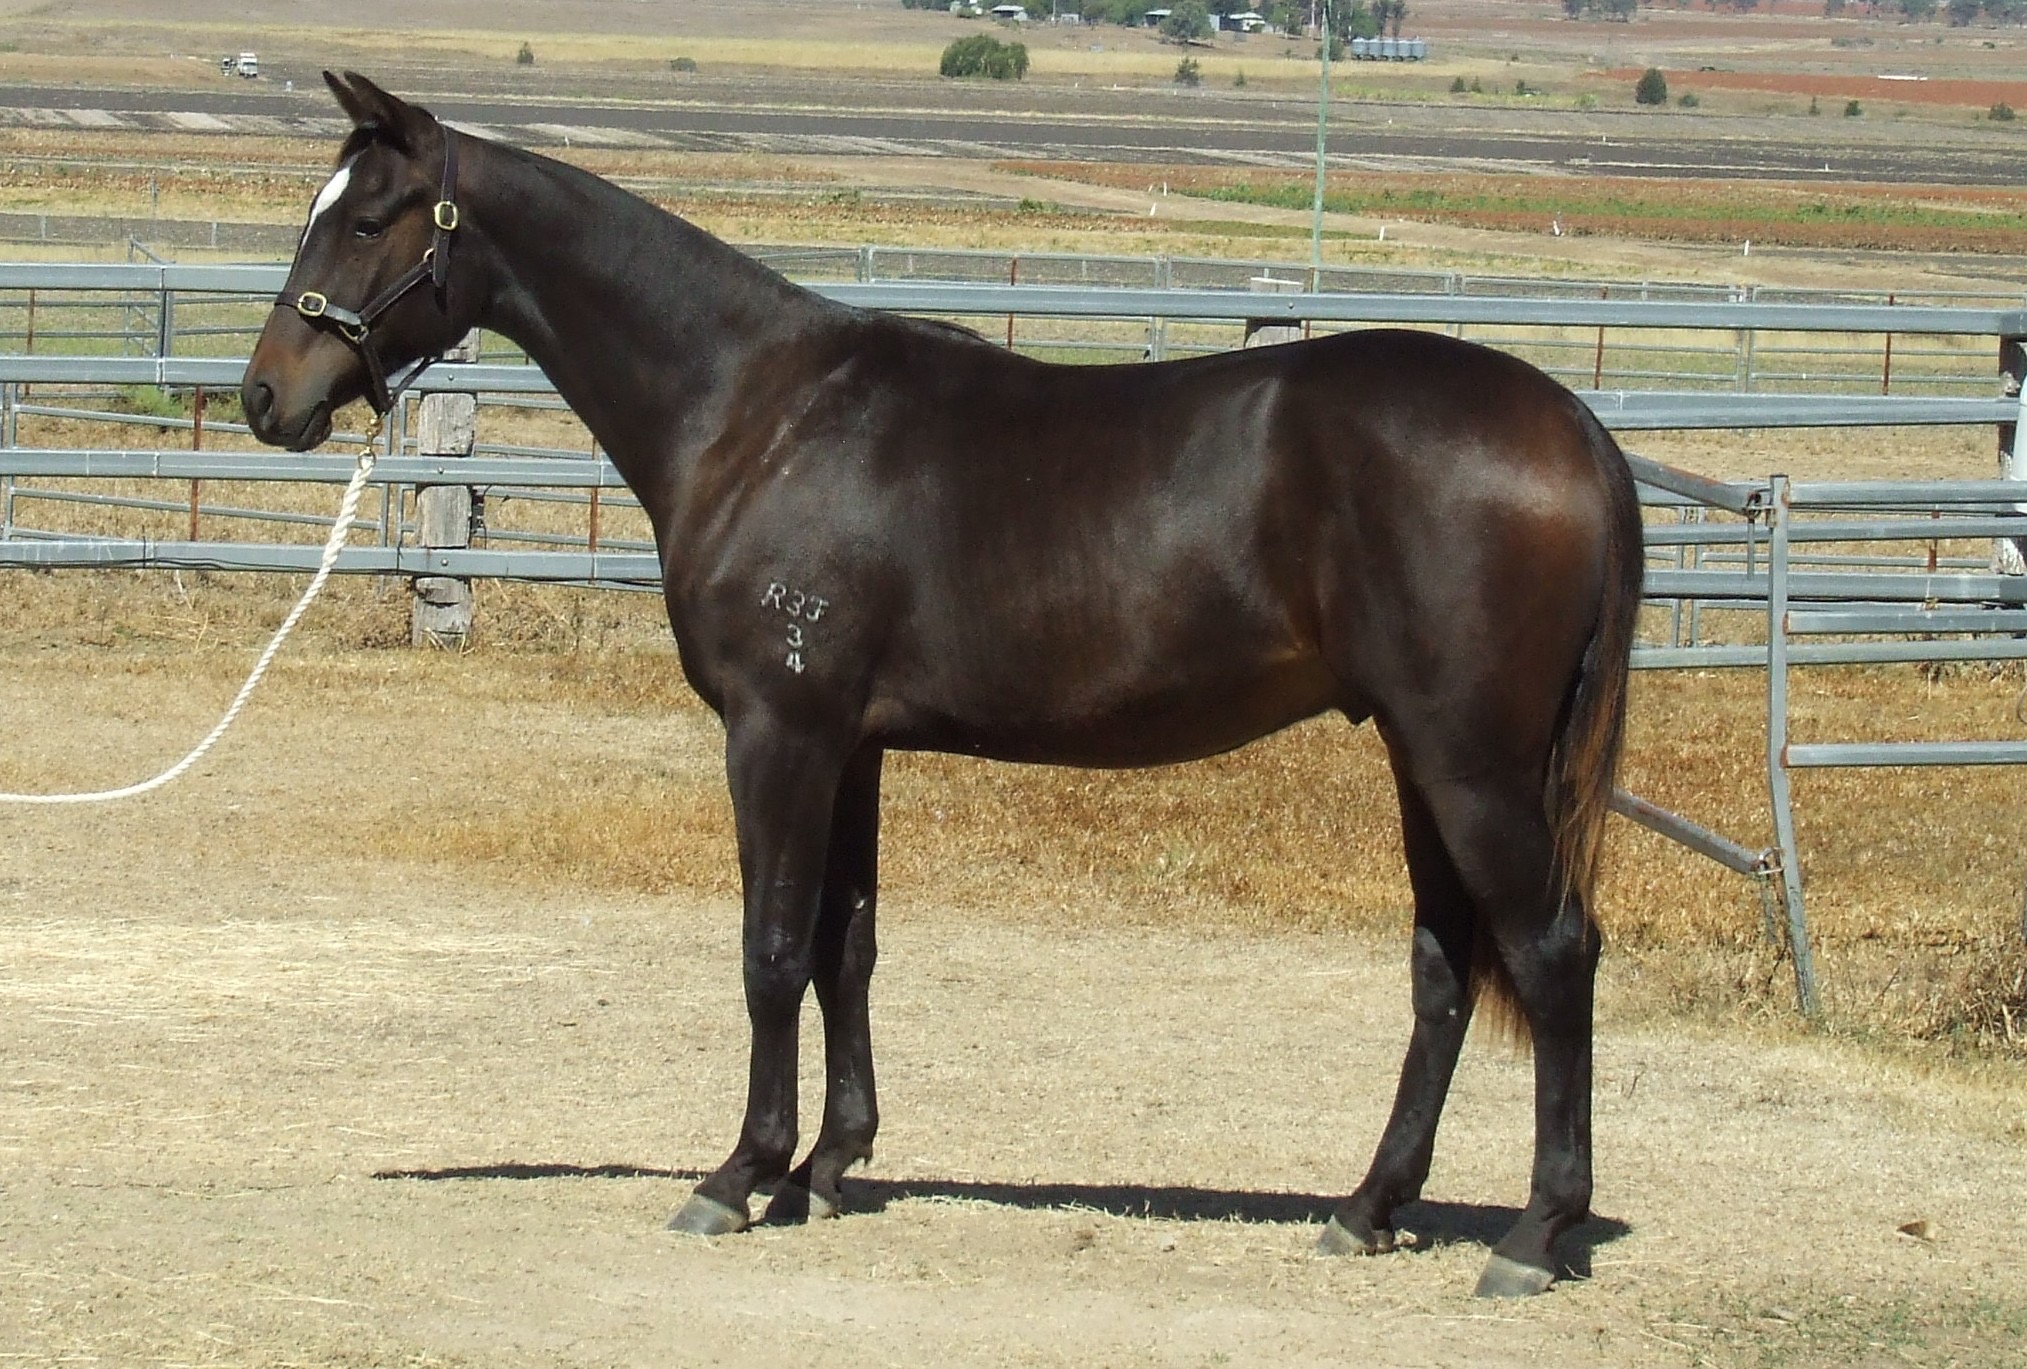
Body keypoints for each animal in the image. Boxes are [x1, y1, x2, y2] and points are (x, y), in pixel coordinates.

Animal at [243, 71, 1645, 1298]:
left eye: (366, 218)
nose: (266, 396)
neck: (757, 413)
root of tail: (1575, 428)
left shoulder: (778, 734)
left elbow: (768, 950)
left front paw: (738, 1173)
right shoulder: (851, 744)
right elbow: (843, 946)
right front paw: (827, 1166)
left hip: (1471, 765)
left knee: (1553, 952)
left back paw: (1534, 1233)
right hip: (1420, 759)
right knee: (1444, 968)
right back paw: (1367, 1207)